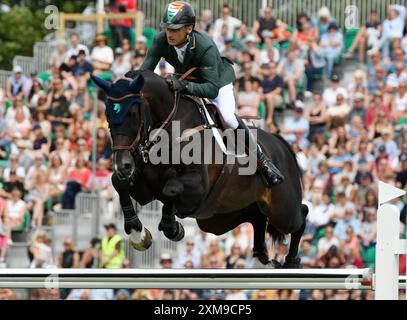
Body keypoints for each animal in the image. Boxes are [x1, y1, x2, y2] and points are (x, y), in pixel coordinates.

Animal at [91, 70, 310, 268]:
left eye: (133, 113)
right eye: (107, 113)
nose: (123, 165)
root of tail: (281, 143)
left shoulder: (198, 188)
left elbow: (170, 189)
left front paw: (172, 227)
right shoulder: (145, 190)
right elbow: (119, 183)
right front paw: (138, 233)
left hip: (282, 211)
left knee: (301, 215)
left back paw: (291, 261)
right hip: (219, 218)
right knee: (256, 217)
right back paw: (262, 257)